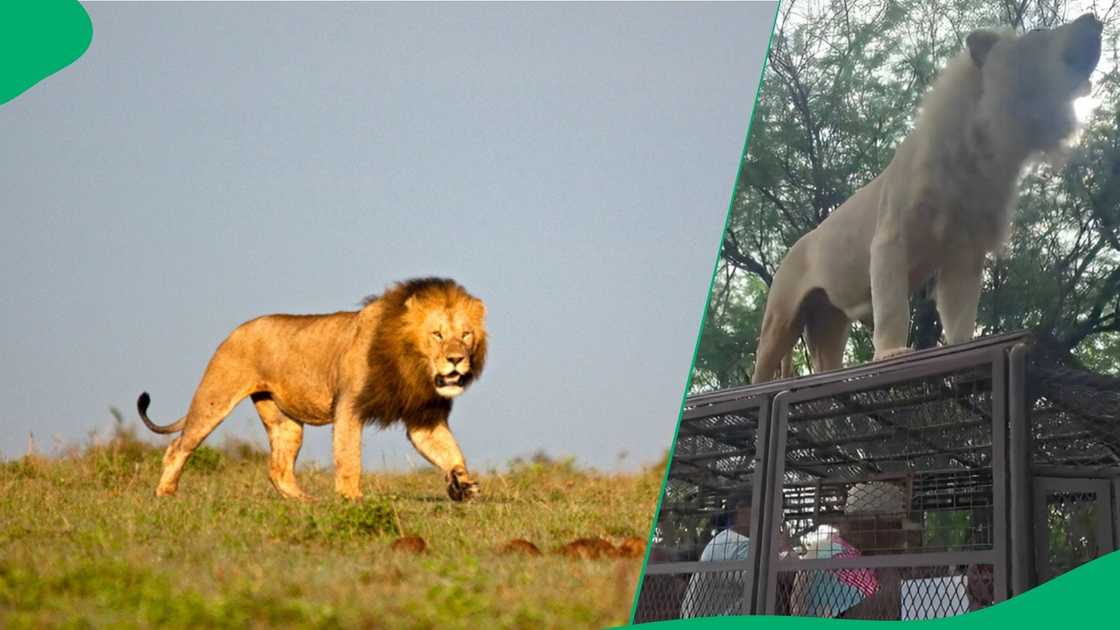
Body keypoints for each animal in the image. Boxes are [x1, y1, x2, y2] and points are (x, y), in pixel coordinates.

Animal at [138, 277, 487, 502]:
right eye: (437, 334)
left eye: (466, 335)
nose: (456, 360)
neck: (413, 368)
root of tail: (236, 330)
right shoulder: (349, 406)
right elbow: (348, 457)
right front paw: (351, 500)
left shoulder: (423, 417)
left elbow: (450, 451)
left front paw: (462, 483)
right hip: (214, 397)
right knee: (178, 447)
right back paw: (165, 493)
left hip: (284, 422)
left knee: (278, 468)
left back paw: (305, 502)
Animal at [752, 13, 1102, 383]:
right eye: (1037, 32)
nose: (1093, 19)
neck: (985, 151)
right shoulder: (891, 237)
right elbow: (893, 305)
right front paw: (892, 355)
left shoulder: (964, 251)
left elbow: (960, 310)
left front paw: (963, 349)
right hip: (781, 317)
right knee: (760, 368)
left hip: (828, 319)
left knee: (826, 359)